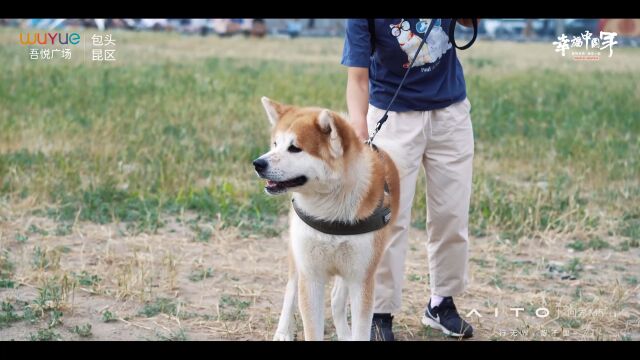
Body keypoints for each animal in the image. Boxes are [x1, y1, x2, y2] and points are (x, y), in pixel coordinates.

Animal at [254, 97, 400, 340]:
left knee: (336, 300)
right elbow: (312, 327)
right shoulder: (311, 277)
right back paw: (283, 331)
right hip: (298, 259)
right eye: (275, 144)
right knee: (290, 289)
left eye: (295, 148)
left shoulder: (361, 278)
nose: (257, 163)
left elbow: (360, 328)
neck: (330, 210)